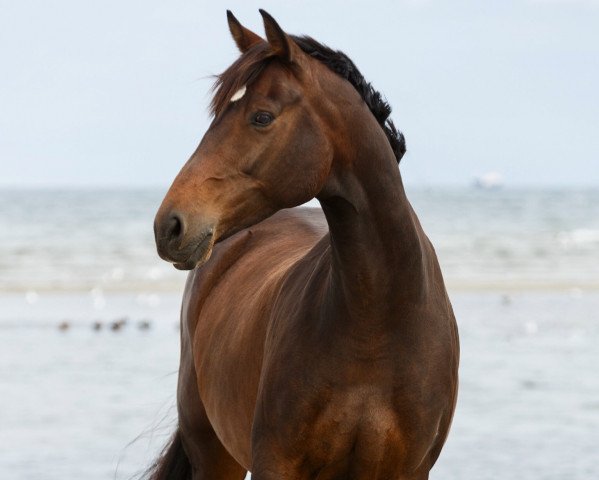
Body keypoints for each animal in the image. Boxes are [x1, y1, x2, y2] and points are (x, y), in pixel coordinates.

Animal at [150, 9, 460, 478]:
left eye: (262, 117)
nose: (170, 225)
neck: (378, 326)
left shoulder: (409, 470)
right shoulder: (276, 463)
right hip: (213, 453)